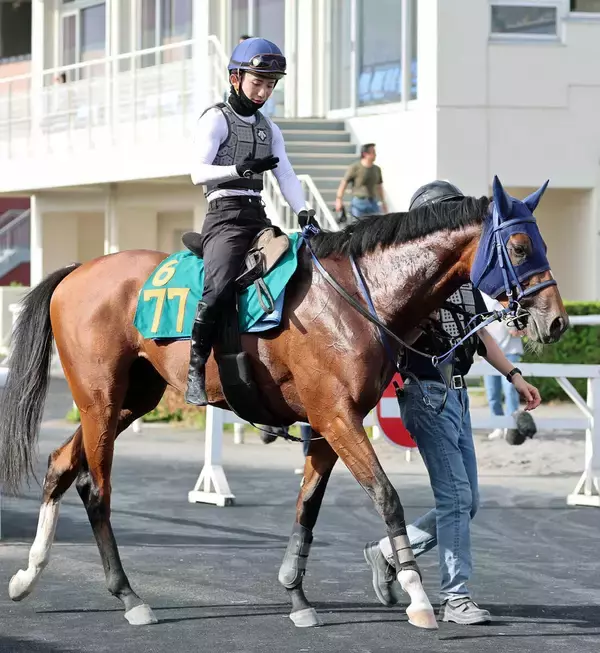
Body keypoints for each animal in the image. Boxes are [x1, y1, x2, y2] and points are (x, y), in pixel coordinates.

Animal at [0, 177, 568, 631]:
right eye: (520, 247)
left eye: (542, 242)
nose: (557, 320)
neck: (356, 295)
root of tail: (77, 271)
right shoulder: (337, 417)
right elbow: (387, 498)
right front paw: (418, 596)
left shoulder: (328, 423)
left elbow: (307, 507)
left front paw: (297, 596)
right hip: (100, 399)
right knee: (96, 490)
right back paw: (128, 596)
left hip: (127, 402)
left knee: (61, 464)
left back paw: (28, 574)